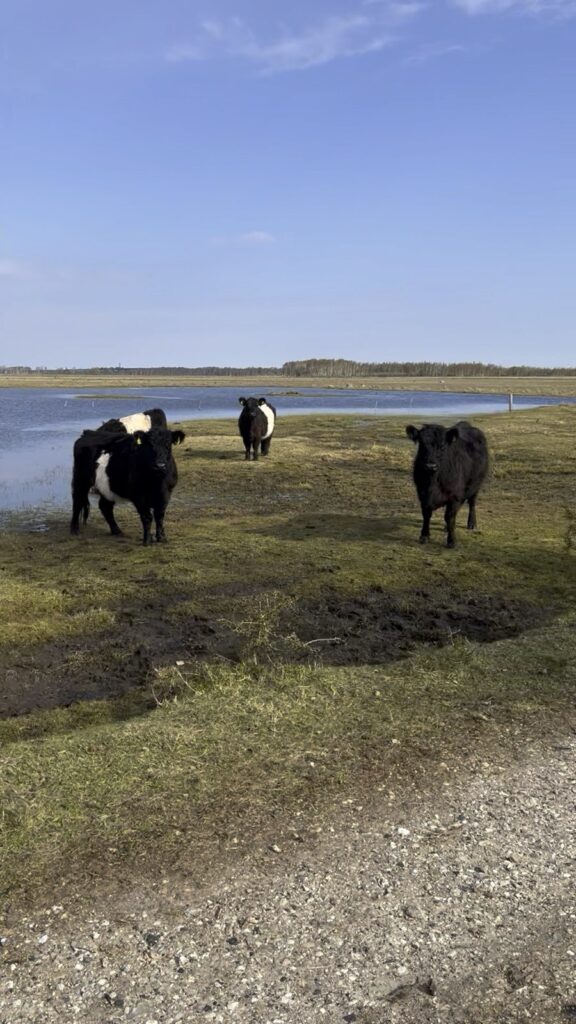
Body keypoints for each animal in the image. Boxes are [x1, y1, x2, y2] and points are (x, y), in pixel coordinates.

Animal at [401, 419, 485, 548]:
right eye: (422, 444)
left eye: (442, 446)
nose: (431, 465)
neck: (433, 482)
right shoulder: (422, 494)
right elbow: (427, 514)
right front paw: (424, 536)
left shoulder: (454, 496)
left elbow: (450, 516)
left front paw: (451, 540)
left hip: (476, 486)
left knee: (472, 503)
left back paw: (472, 523)